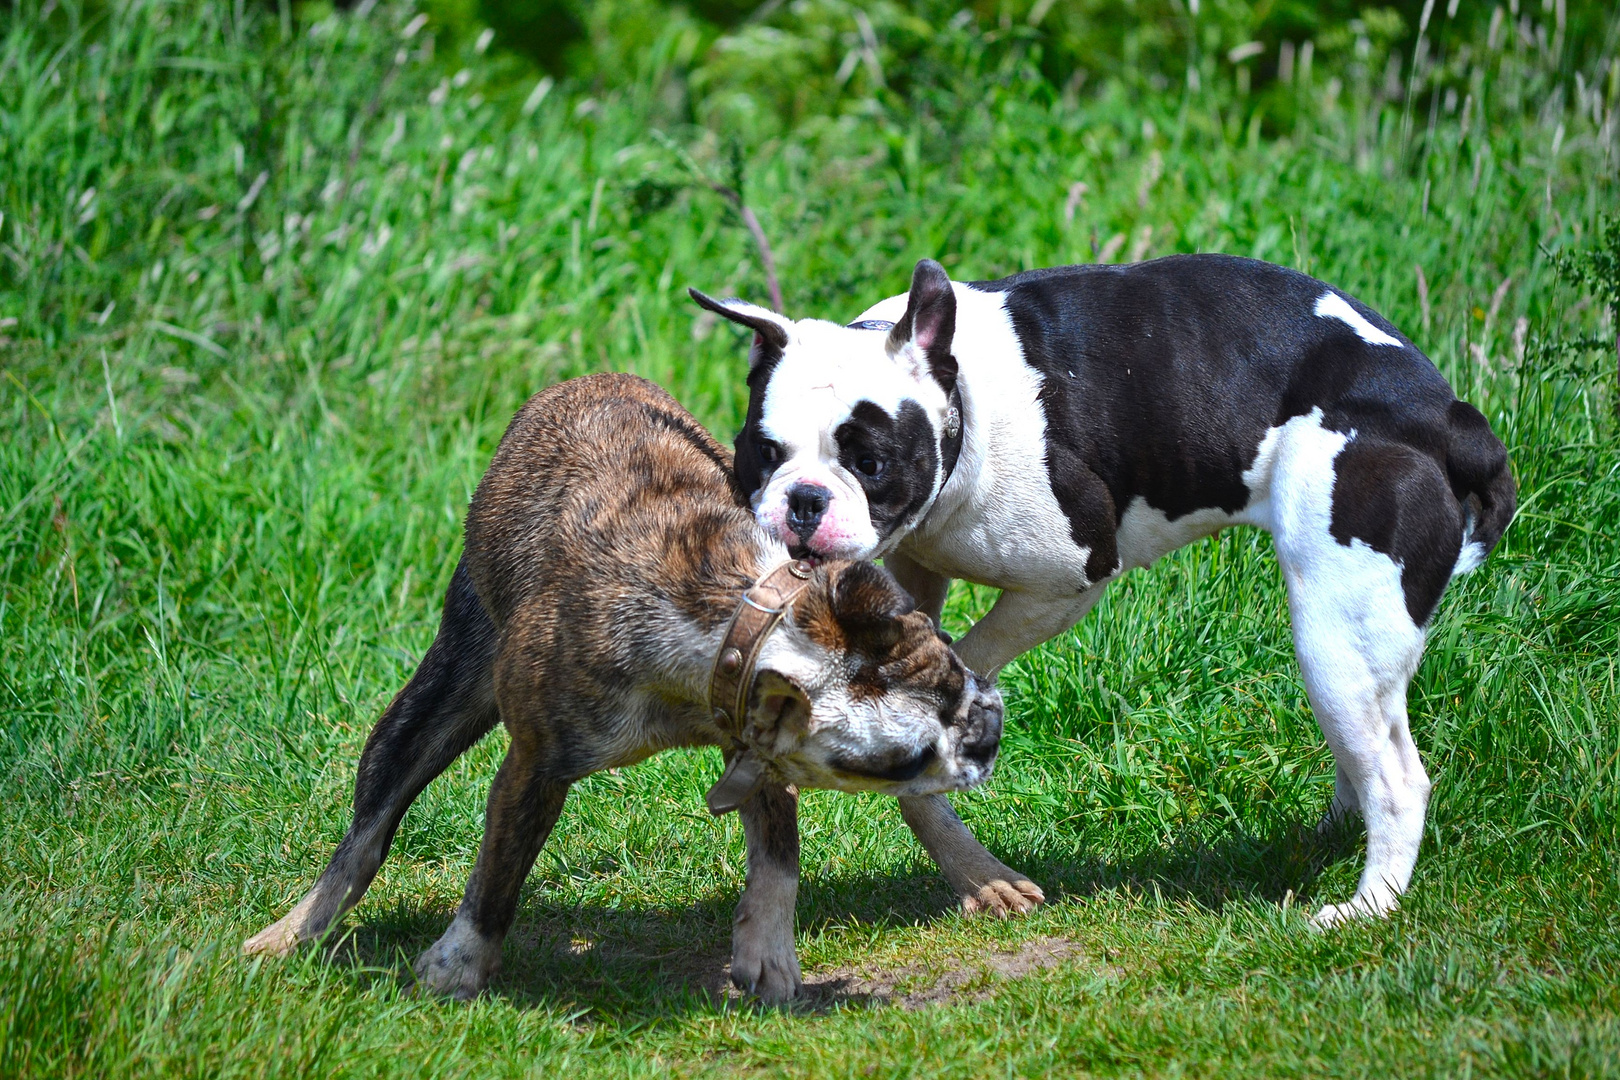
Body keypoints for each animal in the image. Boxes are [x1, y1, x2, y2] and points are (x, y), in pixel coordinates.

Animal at [241, 374, 1004, 1003]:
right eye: (901, 762)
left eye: (952, 663)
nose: (988, 729)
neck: (736, 615)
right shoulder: (535, 768)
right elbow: (496, 879)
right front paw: (459, 964)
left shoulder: (756, 748)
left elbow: (777, 855)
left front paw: (767, 951)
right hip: (437, 700)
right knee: (367, 833)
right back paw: (292, 931)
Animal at [690, 257, 1509, 926]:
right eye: (762, 451)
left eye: (871, 460)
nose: (804, 500)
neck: (964, 404)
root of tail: (1445, 418)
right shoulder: (915, 569)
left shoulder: (1066, 579)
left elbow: (972, 656)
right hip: (1356, 646)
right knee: (1371, 743)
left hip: (1334, 634)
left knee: (1400, 780)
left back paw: (1367, 907)